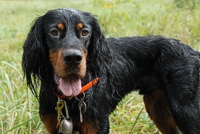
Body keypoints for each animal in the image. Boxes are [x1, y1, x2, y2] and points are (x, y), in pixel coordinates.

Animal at [21, 7, 200, 133]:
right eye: (54, 32)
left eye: (85, 32)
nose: (73, 58)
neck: (70, 98)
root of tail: (193, 52)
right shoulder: (54, 126)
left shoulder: (97, 126)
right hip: (157, 108)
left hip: (186, 111)